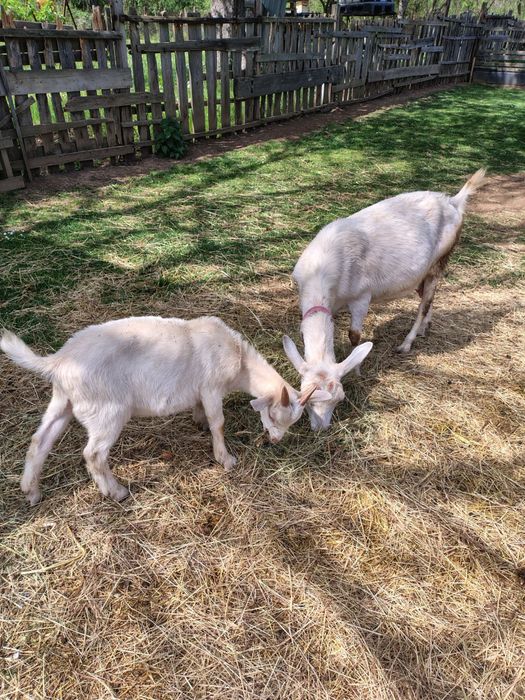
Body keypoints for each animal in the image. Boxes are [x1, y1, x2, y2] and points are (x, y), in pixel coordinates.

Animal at [1, 316, 329, 504]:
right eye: (273, 415)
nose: (275, 441)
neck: (240, 363)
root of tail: (58, 361)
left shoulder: (200, 391)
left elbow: (202, 413)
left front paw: (198, 422)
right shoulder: (211, 387)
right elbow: (219, 422)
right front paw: (225, 459)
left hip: (63, 401)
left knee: (39, 440)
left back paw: (31, 492)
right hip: (107, 410)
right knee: (93, 454)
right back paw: (116, 492)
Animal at [283, 169, 486, 430]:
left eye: (340, 398)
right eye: (305, 400)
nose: (321, 428)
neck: (320, 272)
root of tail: (454, 201)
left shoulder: (361, 296)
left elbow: (354, 335)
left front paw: (358, 369)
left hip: (440, 260)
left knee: (424, 303)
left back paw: (407, 343)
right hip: (422, 274)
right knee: (428, 297)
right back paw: (425, 327)